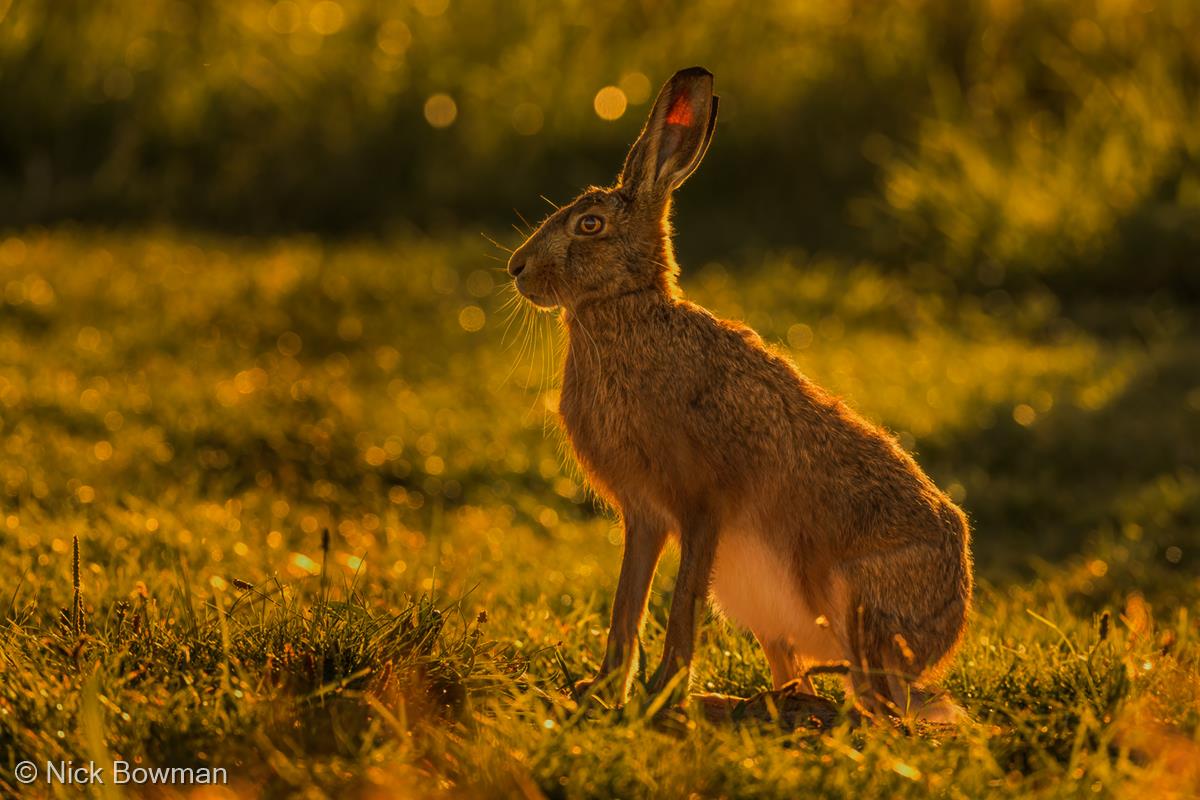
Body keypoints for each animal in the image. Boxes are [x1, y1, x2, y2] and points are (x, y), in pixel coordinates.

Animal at [506, 67, 972, 722]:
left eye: (589, 225)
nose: (516, 269)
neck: (626, 307)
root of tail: (949, 628)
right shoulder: (644, 515)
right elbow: (627, 604)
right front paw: (603, 692)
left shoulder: (704, 502)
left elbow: (681, 604)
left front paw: (660, 696)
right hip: (764, 611)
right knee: (803, 676)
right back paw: (744, 703)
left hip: (858, 603)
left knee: (879, 708)